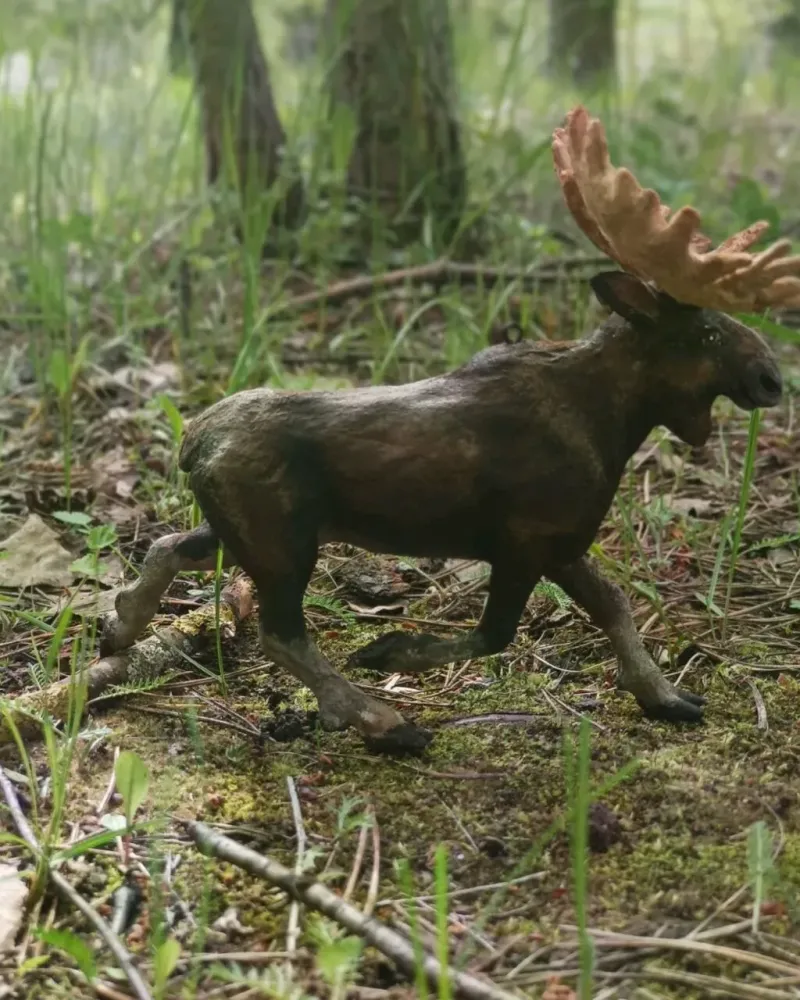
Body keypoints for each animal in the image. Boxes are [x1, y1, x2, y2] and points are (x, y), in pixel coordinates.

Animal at [100, 106, 800, 755]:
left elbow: (614, 605)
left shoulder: (562, 544)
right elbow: (498, 633)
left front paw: (666, 696)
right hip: (283, 543)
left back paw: (121, 626)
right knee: (280, 633)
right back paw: (382, 720)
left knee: (169, 545)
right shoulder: (524, 541)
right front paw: (389, 651)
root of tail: (192, 445)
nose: (771, 379)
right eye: (705, 333)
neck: (613, 425)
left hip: (244, 531)